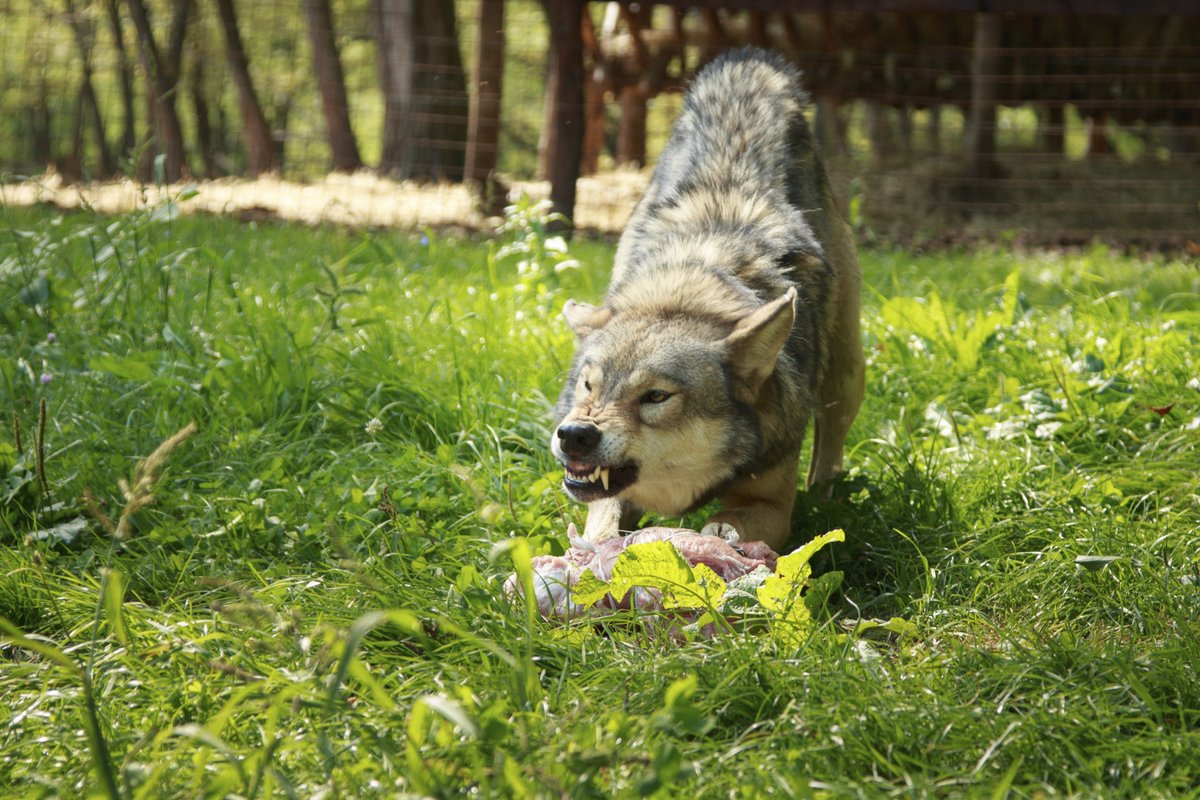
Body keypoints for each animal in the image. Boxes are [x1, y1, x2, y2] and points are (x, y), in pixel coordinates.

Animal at [550, 48, 864, 551]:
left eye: (656, 396)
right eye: (589, 386)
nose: (574, 434)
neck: (688, 292)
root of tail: (746, 69)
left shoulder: (771, 503)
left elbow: (732, 523)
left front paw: (719, 540)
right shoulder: (605, 497)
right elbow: (603, 525)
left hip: (846, 375)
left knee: (829, 448)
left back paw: (826, 497)